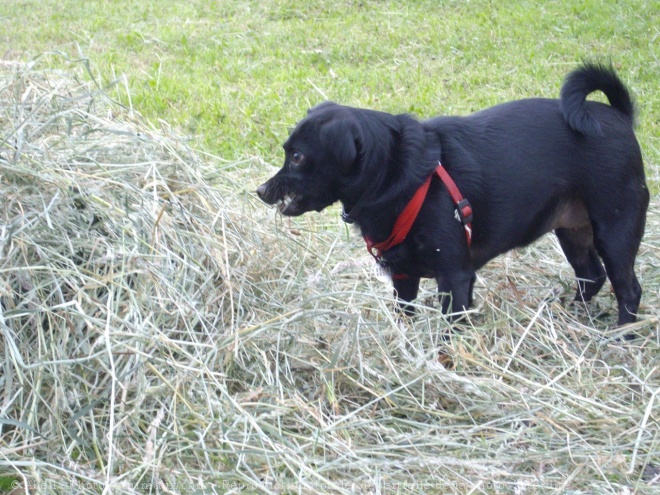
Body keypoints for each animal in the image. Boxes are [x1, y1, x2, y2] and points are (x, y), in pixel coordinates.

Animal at [255, 64, 648, 332]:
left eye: (297, 157)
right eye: (286, 152)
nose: (261, 190)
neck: (393, 172)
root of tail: (618, 116)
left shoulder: (455, 279)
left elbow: (449, 328)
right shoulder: (403, 277)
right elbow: (405, 315)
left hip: (615, 229)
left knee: (628, 289)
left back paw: (622, 336)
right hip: (572, 230)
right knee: (591, 275)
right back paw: (568, 312)